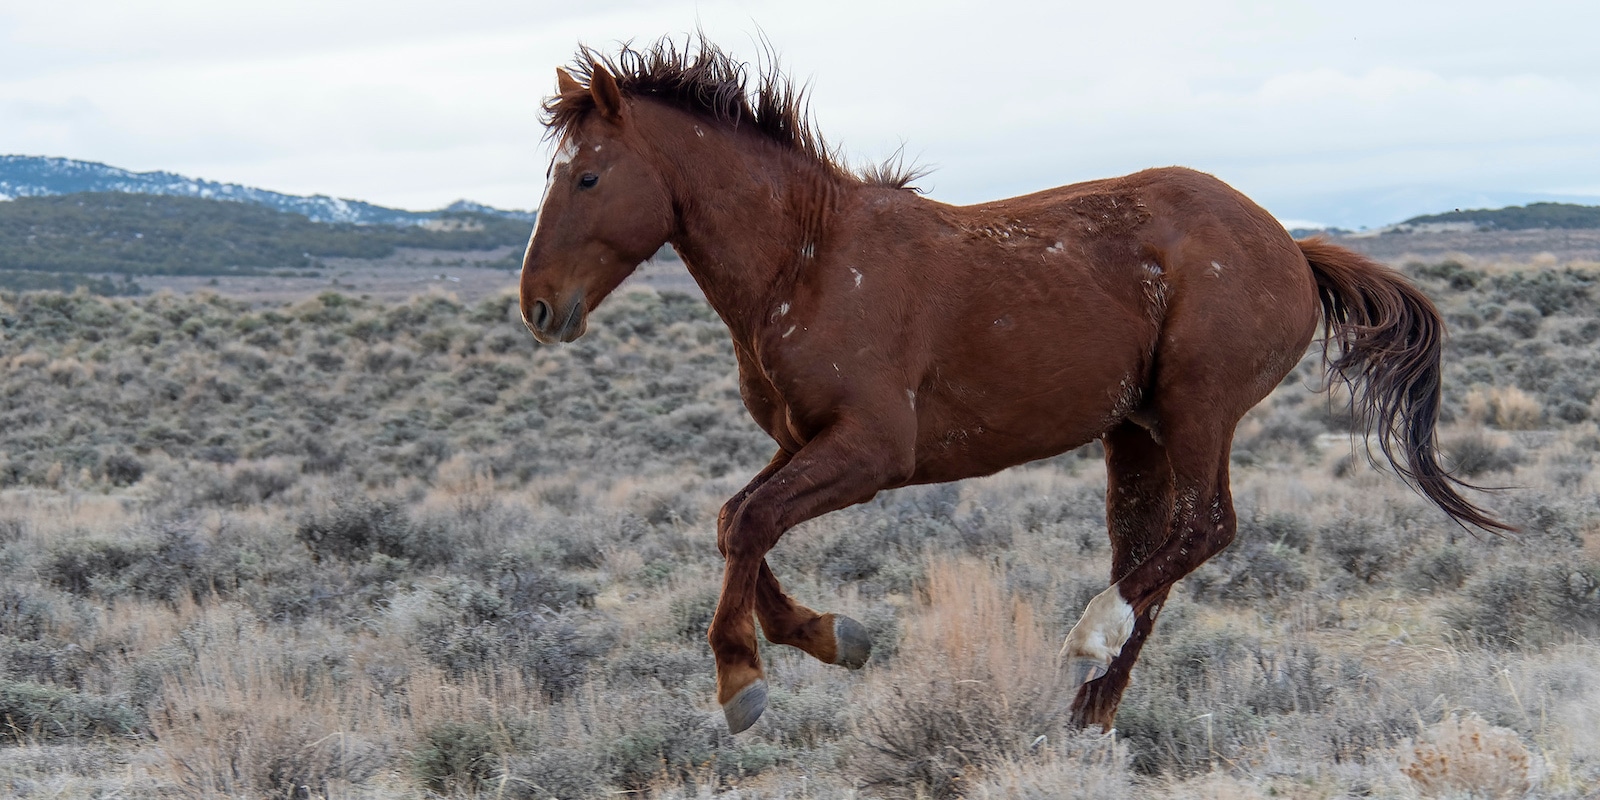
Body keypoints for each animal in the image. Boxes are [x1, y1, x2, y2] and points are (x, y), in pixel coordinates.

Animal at [515, 40, 1510, 732]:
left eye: (588, 176)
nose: (538, 306)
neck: (810, 261)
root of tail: (1294, 249)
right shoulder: (803, 441)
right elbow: (734, 521)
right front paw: (832, 636)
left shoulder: (870, 452)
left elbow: (751, 523)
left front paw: (741, 683)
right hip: (1134, 433)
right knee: (1152, 553)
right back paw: (1087, 712)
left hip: (1199, 409)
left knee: (1204, 530)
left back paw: (1087, 641)